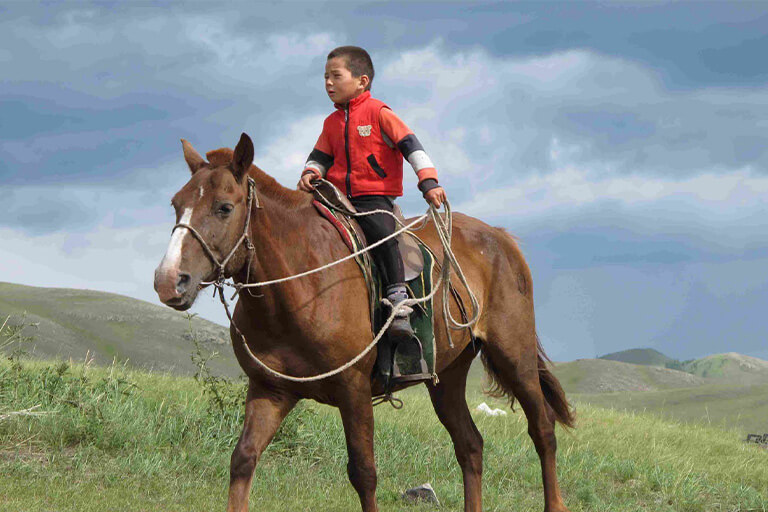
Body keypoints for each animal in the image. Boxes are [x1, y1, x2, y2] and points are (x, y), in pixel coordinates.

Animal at [154, 133, 576, 512]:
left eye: (224, 207)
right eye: (176, 204)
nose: (168, 280)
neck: (298, 283)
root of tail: (502, 239)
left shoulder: (353, 389)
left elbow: (364, 473)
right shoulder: (270, 391)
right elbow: (242, 460)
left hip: (514, 356)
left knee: (543, 430)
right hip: (448, 375)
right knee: (470, 445)